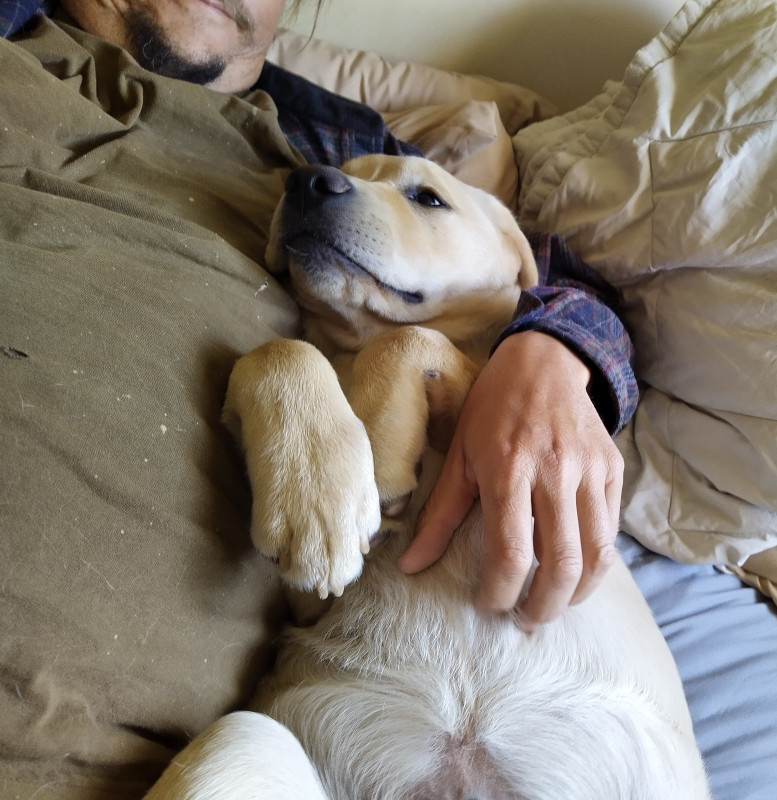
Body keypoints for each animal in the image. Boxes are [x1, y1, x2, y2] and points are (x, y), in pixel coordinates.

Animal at [146, 155, 710, 799]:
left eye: (428, 198)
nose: (308, 179)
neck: (354, 349)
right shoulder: (308, 602)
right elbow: (279, 349)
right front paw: (319, 493)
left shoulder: (486, 404)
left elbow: (412, 335)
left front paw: (382, 452)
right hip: (239, 741)